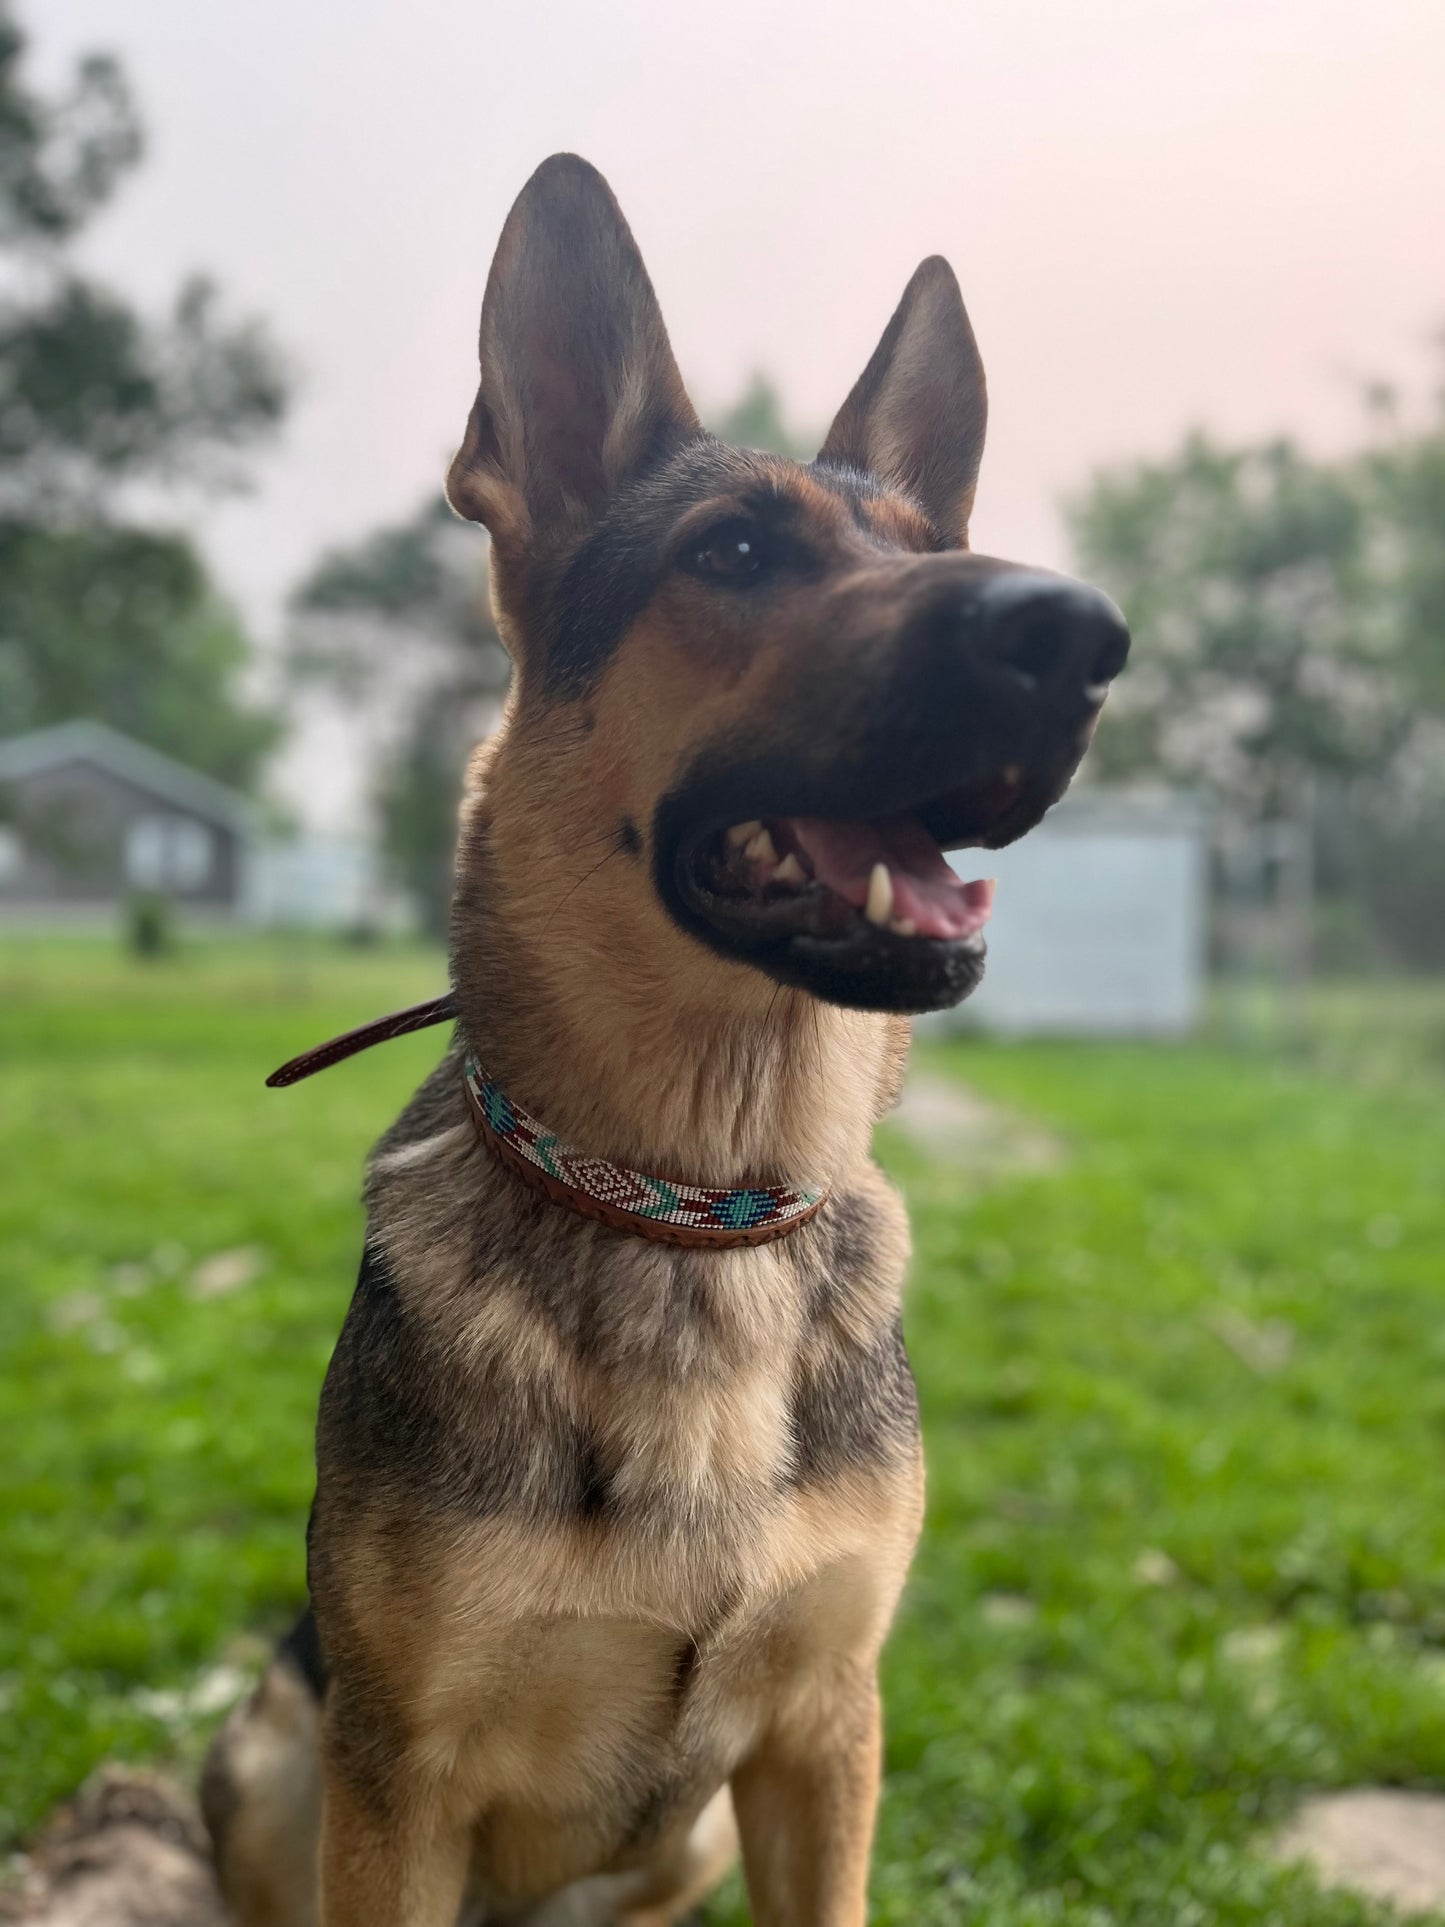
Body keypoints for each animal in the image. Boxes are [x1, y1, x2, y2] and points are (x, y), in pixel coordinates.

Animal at [204, 154, 1132, 1927]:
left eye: (932, 545)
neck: (695, 1204)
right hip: (279, 1751)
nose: (1081, 637)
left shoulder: (826, 1732)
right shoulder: (396, 1777)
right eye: (738, 546)